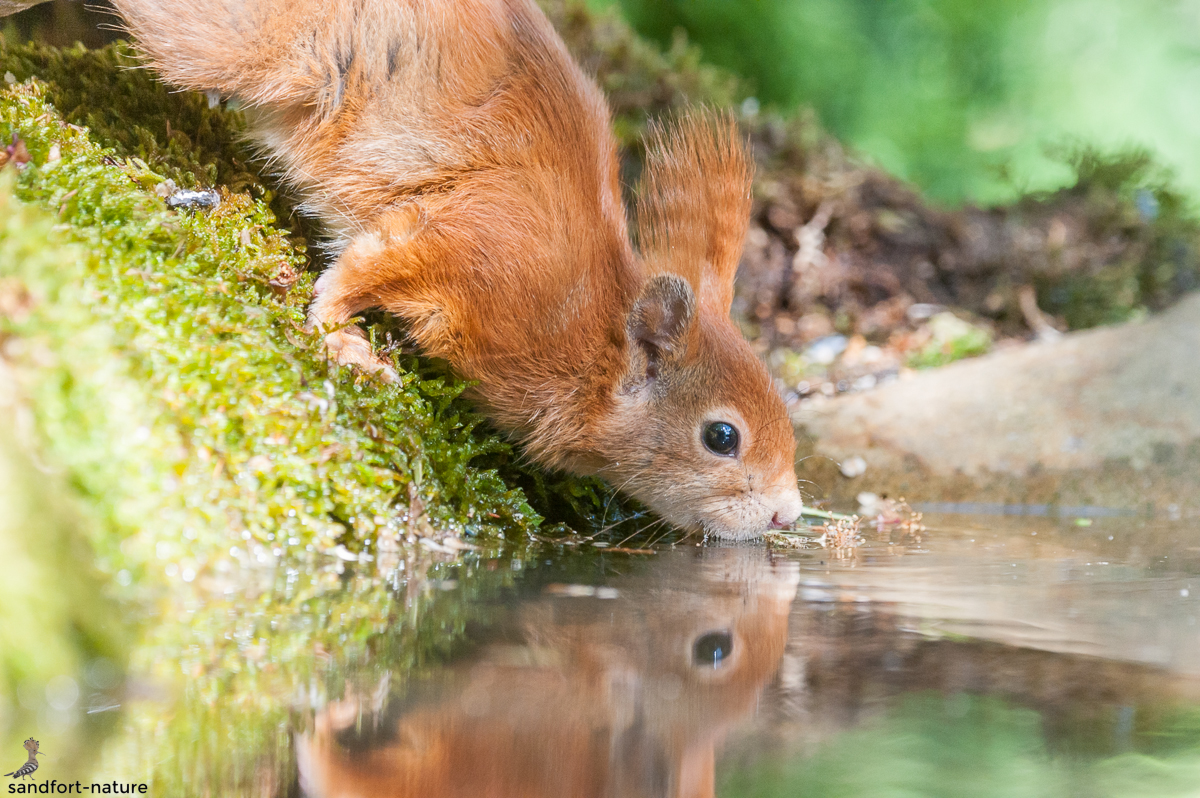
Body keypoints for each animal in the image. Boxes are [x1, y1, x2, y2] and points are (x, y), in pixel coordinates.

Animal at [112, 0, 806, 542]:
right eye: (722, 437)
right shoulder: (465, 246)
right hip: (241, 45)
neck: (585, 327)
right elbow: (362, 267)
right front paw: (343, 340)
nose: (788, 516)